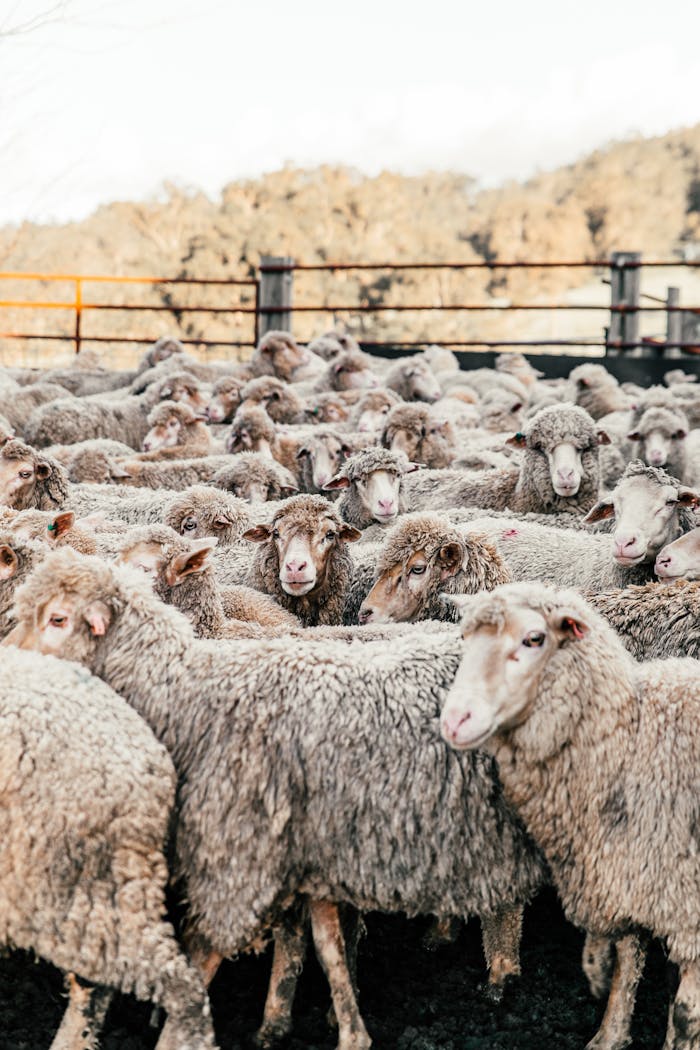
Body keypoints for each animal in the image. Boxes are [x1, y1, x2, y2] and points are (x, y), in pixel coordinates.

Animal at [439, 581, 700, 1050]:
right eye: (465, 638)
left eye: (534, 639)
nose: (454, 719)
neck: (631, 745)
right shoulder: (626, 877)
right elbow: (627, 963)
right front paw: (609, 1034)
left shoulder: (687, 908)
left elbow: (686, 1011)